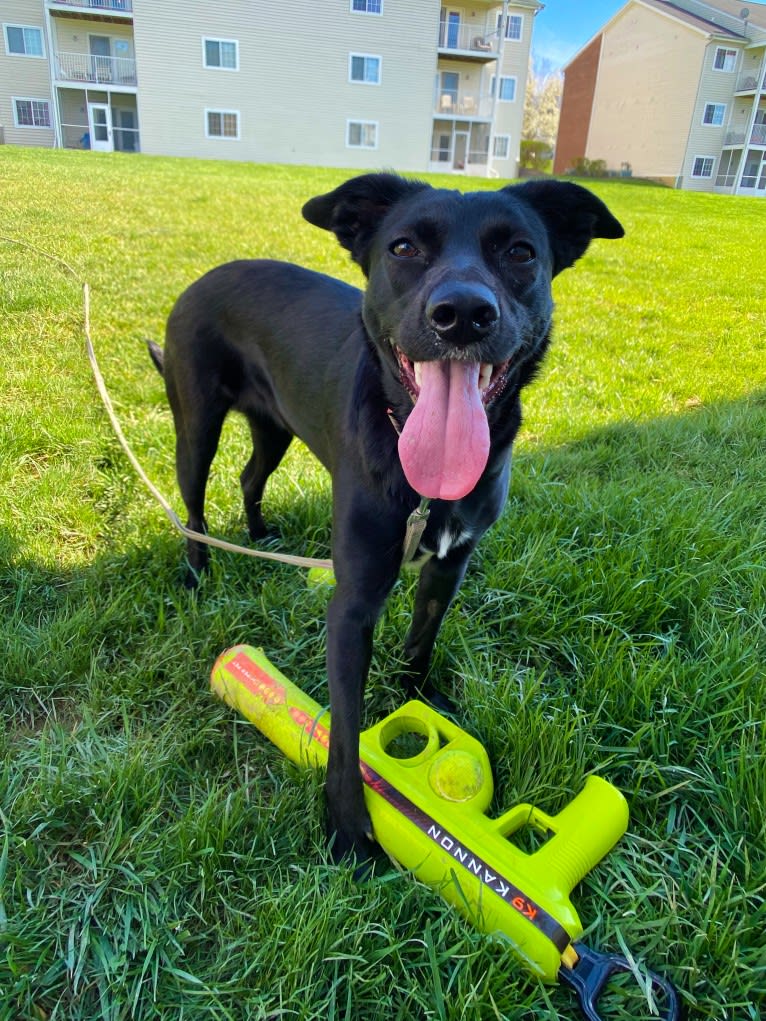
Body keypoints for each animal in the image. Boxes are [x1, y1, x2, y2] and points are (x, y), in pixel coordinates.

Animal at [150, 173, 625, 861]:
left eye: (520, 253)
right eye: (403, 247)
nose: (463, 314)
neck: (424, 472)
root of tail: (208, 274)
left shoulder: (450, 564)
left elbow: (421, 644)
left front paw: (417, 706)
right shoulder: (352, 606)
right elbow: (346, 730)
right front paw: (348, 826)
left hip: (276, 425)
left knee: (249, 476)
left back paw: (261, 536)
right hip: (196, 423)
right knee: (193, 502)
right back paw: (197, 572)